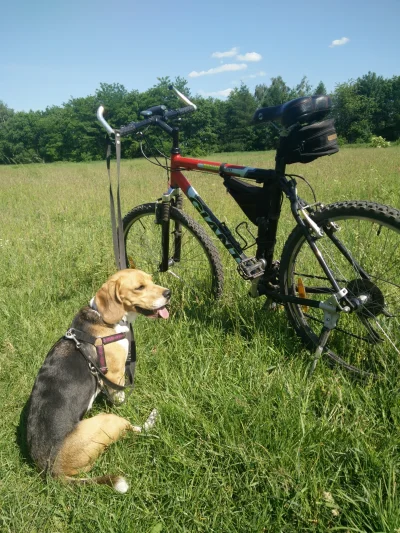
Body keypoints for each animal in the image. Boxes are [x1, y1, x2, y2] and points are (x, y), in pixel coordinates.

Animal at [26, 268, 170, 492]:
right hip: (108, 420)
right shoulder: (115, 374)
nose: (168, 293)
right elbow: (120, 397)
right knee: (136, 430)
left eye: (151, 280)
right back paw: (153, 417)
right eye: (139, 287)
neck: (104, 318)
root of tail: (52, 470)